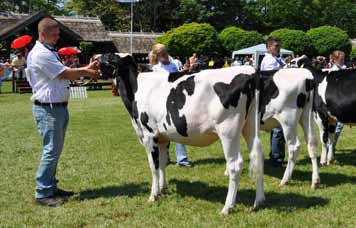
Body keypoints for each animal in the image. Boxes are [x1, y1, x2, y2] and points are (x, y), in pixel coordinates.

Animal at [98, 53, 266, 214]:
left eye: (108, 57)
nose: (95, 58)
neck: (136, 89)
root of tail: (249, 71)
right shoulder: (162, 137)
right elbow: (163, 163)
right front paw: (162, 189)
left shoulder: (149, 134)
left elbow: (154, 166)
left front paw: (153, 195)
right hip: (251, 126)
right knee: (257, 156)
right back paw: (259, 201)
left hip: (228, 130)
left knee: (235, 165)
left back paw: (227, 207)